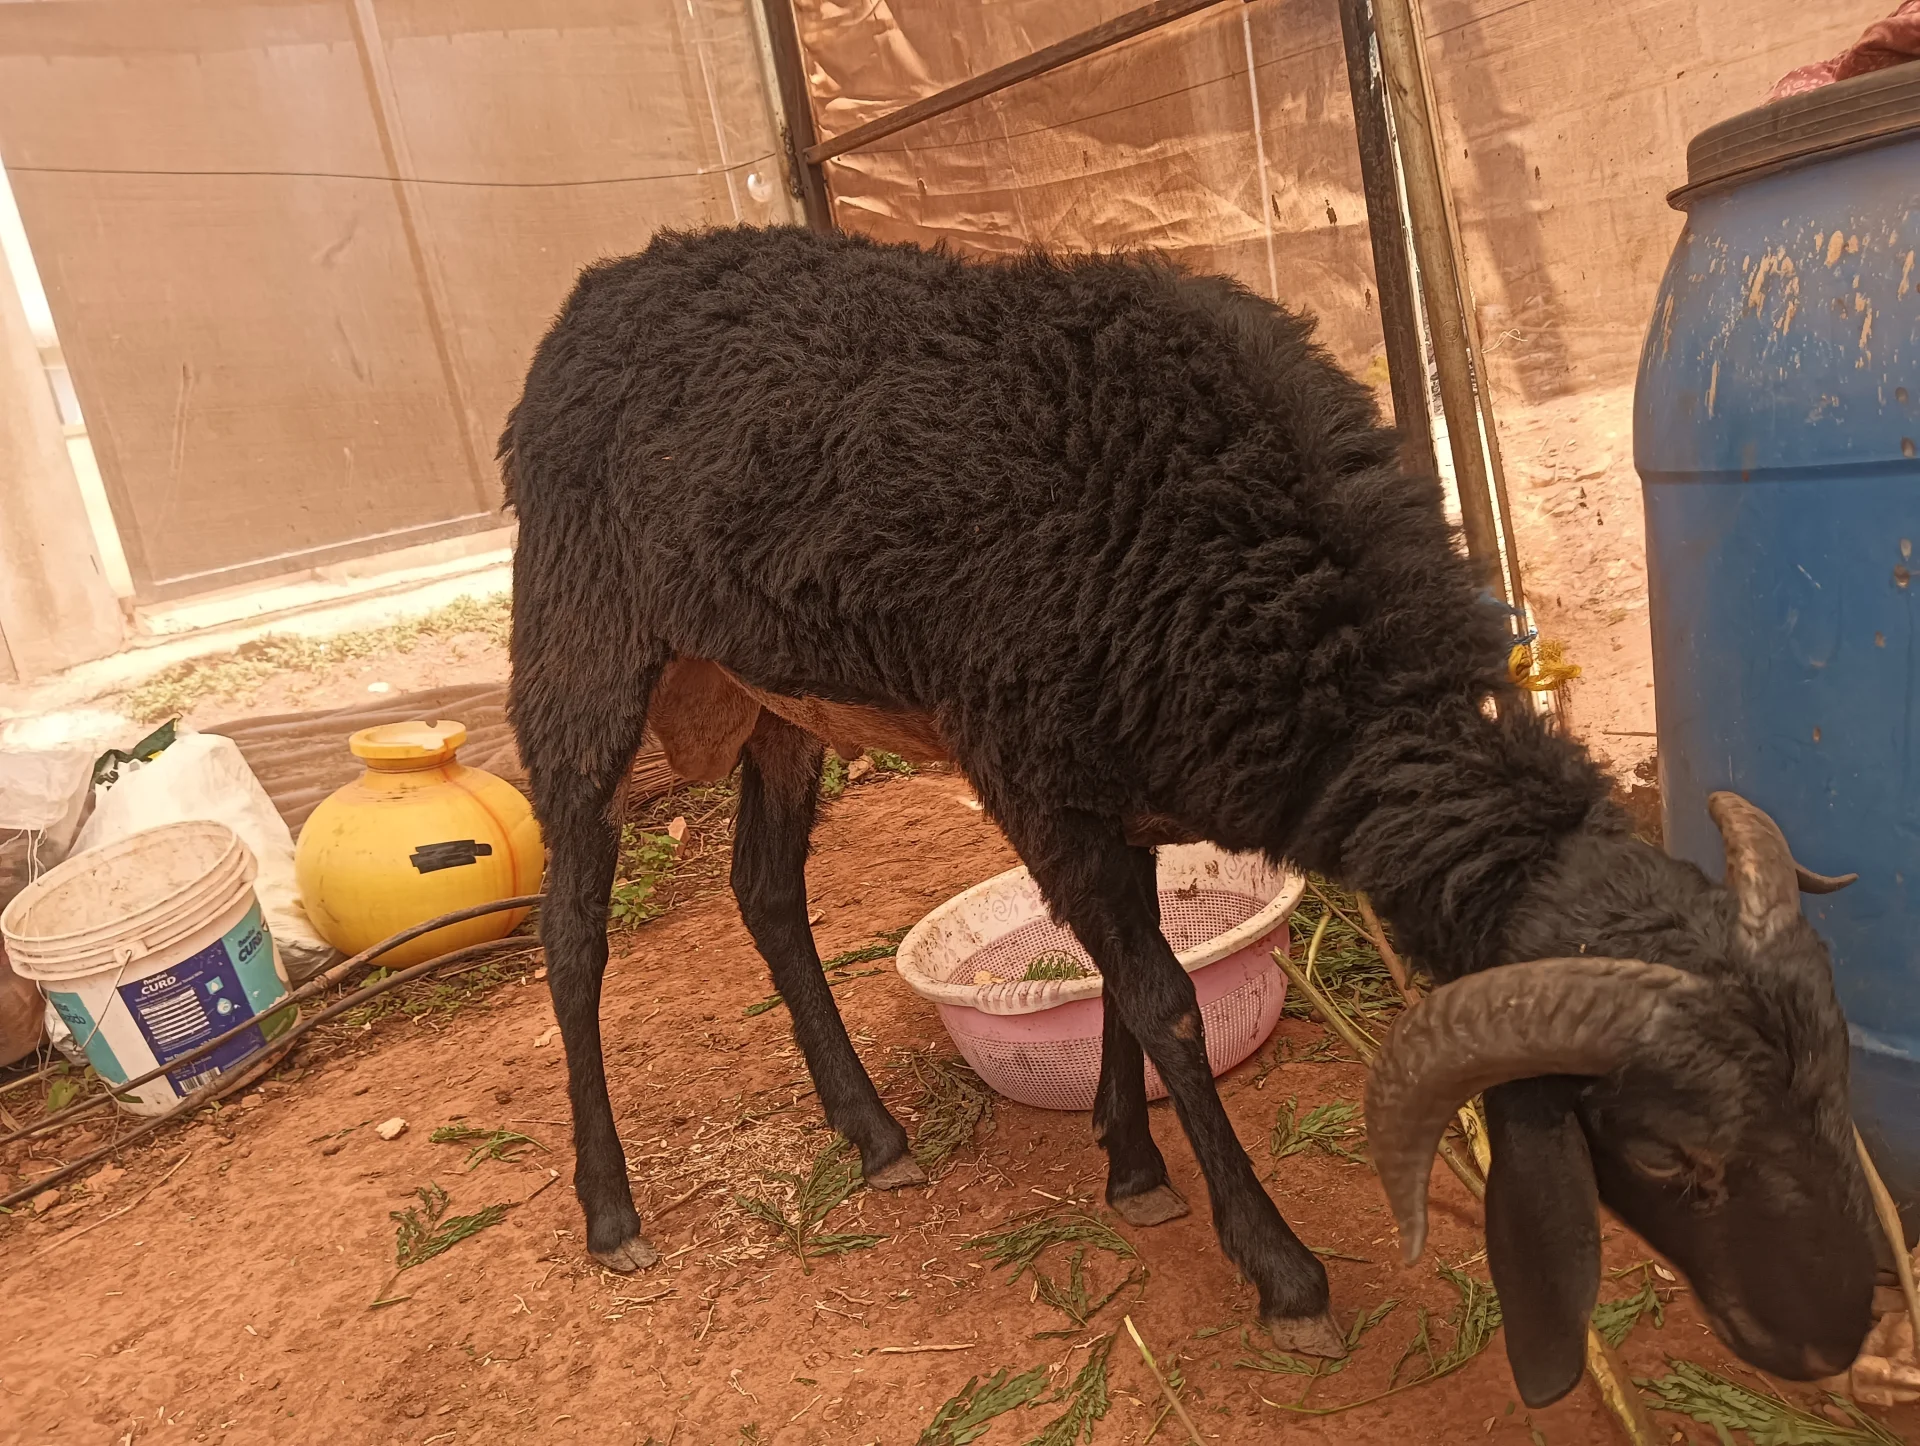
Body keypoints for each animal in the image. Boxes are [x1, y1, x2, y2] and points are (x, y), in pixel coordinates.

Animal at [502, 224, 1877, 1407]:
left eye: (1835, 1088)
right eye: (1665, 1157)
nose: (1834, 1339)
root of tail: (600, 287)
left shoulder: (1116, 782)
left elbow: (1123, 979)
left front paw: (1131, 1164)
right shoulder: (1033, 772)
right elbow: (1162, 999)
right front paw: (1279, 1271)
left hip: (769, 693)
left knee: (766, 893)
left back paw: (873, 1131)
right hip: (579, 638)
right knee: (572, 930)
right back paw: (611, 1209)